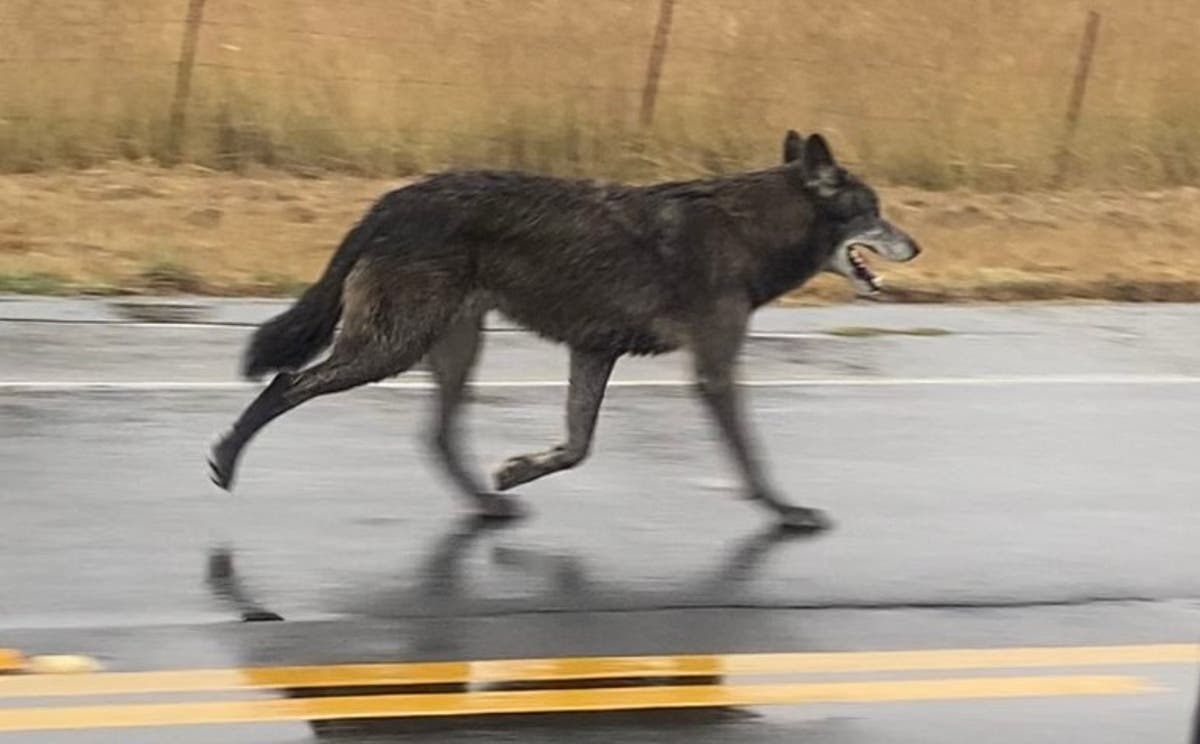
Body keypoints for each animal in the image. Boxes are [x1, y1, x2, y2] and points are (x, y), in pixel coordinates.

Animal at [208, 131, 920, 531]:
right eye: (875, 212)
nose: (917, 245)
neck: (749, 230)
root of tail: (391, 201)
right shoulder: (713, 372)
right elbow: (751, 458)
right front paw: (786, 513)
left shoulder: (594, 350)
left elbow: (577, 447)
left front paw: (517, 470)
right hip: (389, 348)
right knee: (286, 381)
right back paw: (224, 460)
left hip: (449, 349)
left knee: (435, 435)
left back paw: (487, 506)